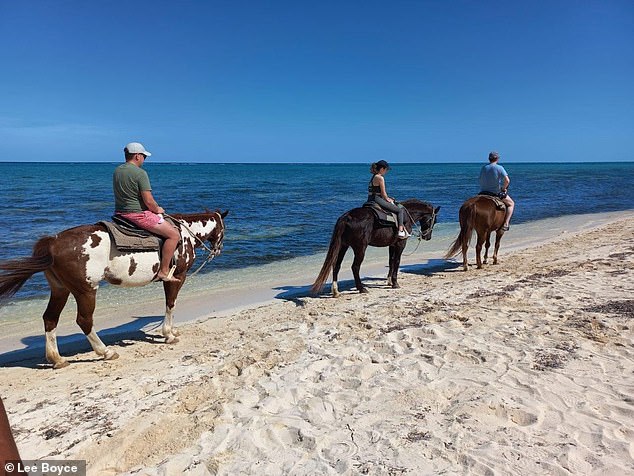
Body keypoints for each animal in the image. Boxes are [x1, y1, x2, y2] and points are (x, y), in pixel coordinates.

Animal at [0, 210, 227, 370]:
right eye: (223, 229)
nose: (218, 250)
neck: (185, 233)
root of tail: (52, 242)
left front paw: (172, 330)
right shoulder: (176, 277)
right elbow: (171, 304)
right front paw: (168, 334)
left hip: (60, 289)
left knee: (50, 318)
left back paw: (57, 359)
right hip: (86, 290)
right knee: (84, 320)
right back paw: (105, 352)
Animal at [312, 199, 440, 296]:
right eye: (434, 221)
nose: (427, 237)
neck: (405, 216)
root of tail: (347, 217)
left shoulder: (391, 245)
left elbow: (391, 261)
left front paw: (389, 281)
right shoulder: (400, 245)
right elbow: (397, 262)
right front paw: (395, 283)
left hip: (343, 246)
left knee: (336, 265)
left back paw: (335, 290)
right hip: (360, 248)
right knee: (355, 267)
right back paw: (361, 288)